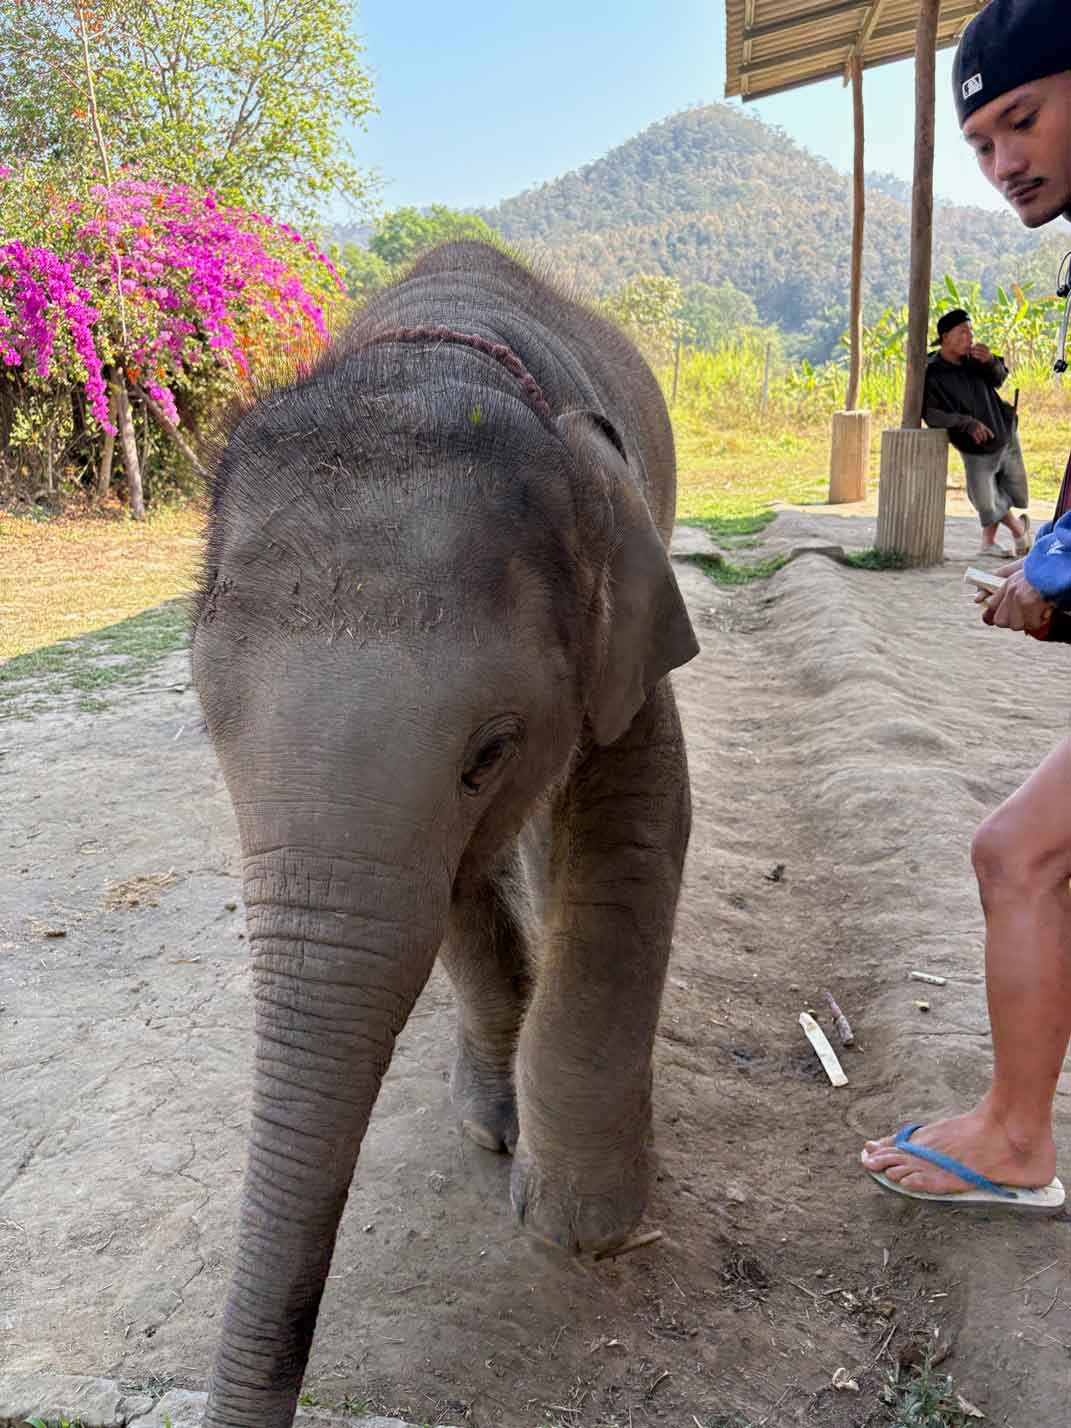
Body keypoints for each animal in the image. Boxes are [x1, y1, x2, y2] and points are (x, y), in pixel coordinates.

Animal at [190, 240, 699, 1428]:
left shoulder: (625, 620)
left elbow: (636, 831)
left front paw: (580, 1227)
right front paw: (491, 1127)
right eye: (208, 729)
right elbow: (457, 890)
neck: (428, 364)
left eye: (490, 750)